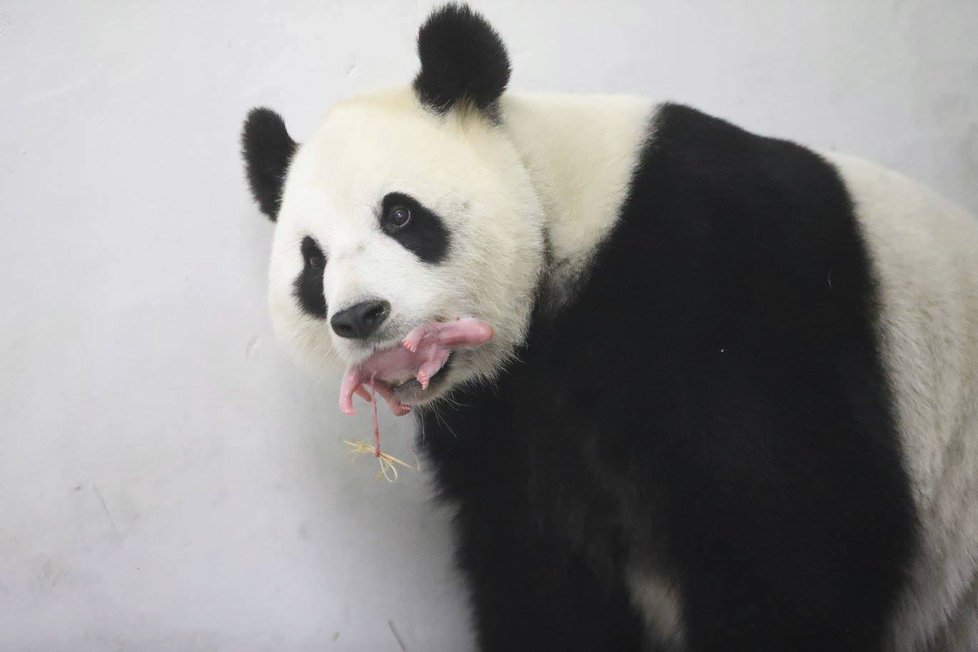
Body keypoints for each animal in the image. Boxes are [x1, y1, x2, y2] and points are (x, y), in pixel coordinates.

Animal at [240, 5, 976, 652]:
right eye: (312, 261)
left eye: (399, 214)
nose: (360, 316)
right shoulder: (507, 412)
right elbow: (536, 560)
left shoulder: (724, 284)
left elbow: (796, 528)